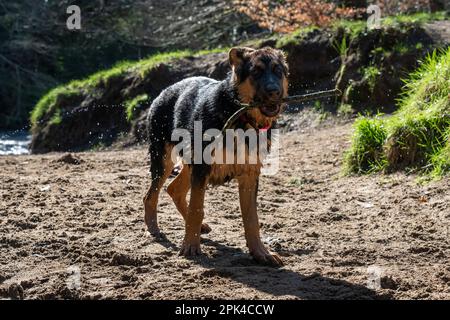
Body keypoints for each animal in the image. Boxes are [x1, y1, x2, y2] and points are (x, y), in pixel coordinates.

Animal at [146, 46, 290, 266]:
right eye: (256, 72)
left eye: (278, 71)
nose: (274, 91)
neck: (240, 115)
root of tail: (163, 91)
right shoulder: (202, 168)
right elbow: (197, 208)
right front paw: (190, 246)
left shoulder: (249, 175)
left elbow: (252, 219)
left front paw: (260, 252)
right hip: (164, 161)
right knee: (151, 196)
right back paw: (154, 228)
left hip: (189, 165)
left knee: (173, 189)